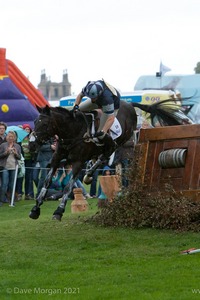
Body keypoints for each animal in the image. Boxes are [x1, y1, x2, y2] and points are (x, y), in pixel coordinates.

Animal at [28, 99, 191, 220]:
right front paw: (35, 208)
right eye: (35, 122)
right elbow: (47, 181)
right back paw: (88, 174)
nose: (31, 144)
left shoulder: (78, 162)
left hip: (121, 139)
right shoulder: (56, 158)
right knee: (102, 157)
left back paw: (88, 174)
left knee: (107, 153)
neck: (72, 132)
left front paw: (58, 211)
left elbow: (68, 186)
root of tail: (129, 105)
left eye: (44, 124)